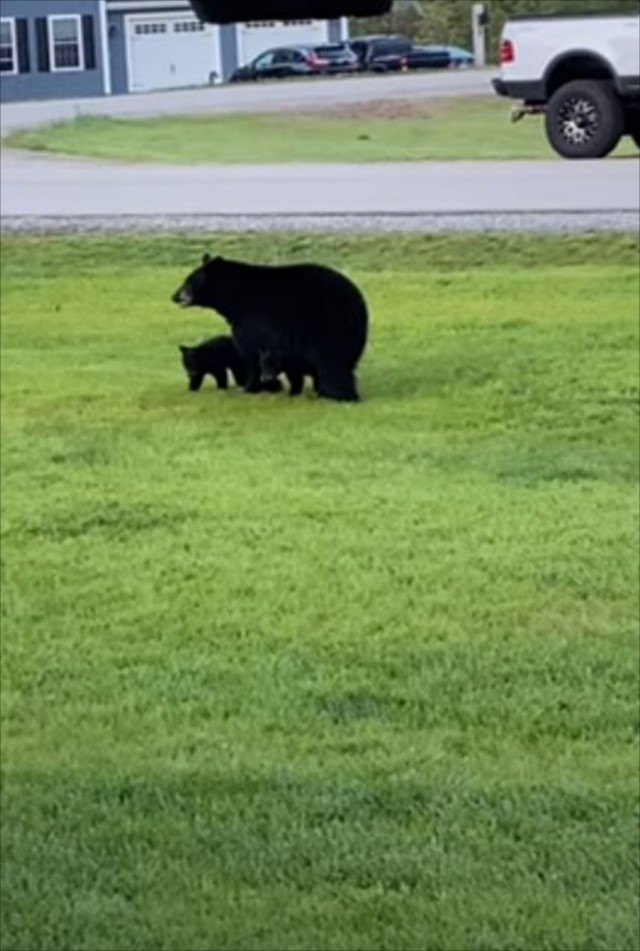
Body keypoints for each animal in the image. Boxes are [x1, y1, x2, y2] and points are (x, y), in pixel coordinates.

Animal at [172, 255, 368, 400]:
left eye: (188, 281)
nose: (174, 296)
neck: (234, 295)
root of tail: (355, 302)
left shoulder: (250, 321)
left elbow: (250, 352)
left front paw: (250, 387)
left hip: (327, 325)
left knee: (332, 361)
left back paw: (337, 394)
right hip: (355, 335)